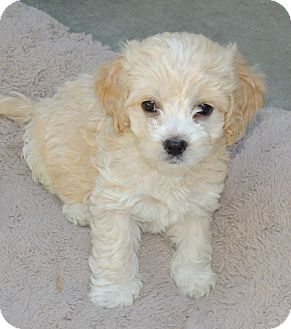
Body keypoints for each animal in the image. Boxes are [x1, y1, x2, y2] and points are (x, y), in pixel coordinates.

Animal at [0, 32, 264, 306]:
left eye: (204, 109)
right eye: (149, 105)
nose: (175, 144)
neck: (165, 173)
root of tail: (40, 106)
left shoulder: (199, 204)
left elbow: (196, 243)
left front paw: (194, 277)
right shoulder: (115, 201)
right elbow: (116, 250)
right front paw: (115, 291)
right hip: (56, 153)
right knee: (65, 183)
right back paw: (80, 209)